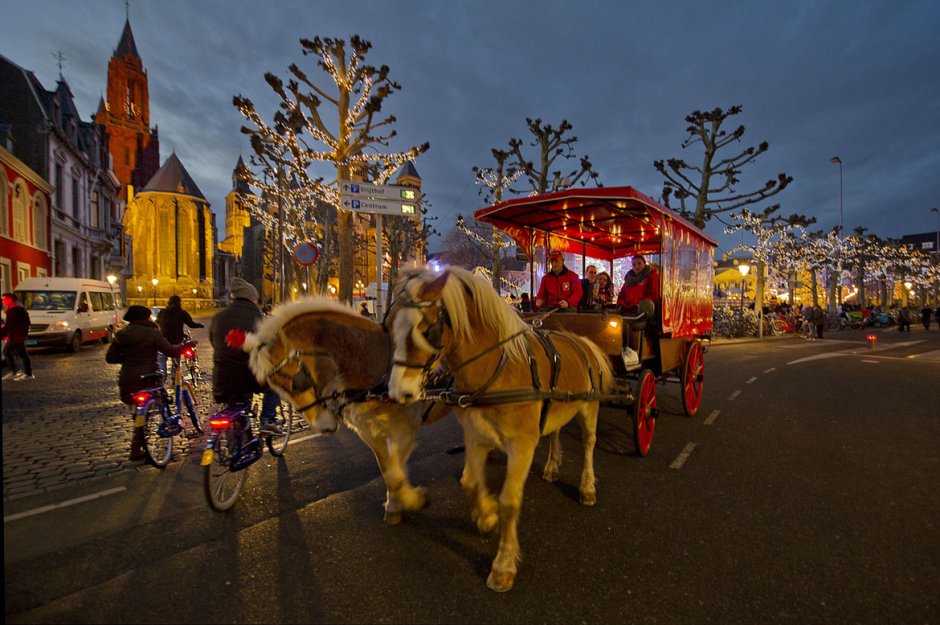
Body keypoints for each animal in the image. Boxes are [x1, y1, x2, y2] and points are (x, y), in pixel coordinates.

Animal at [242, 298, 448, 520]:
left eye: (296, 383)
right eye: (274, 388)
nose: (323, 426)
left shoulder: (403, 431)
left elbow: (396, 472)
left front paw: (413, 499)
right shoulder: (369, 432)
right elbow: (388, 470)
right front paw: (395, 504)